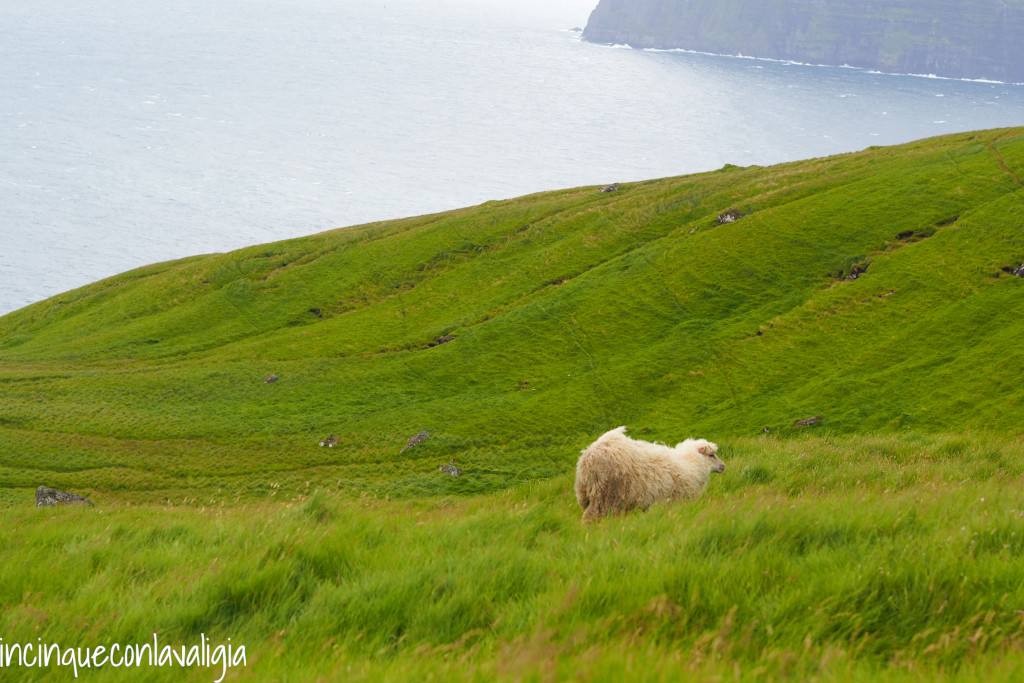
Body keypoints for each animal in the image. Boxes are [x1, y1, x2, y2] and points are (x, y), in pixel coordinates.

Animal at [574, 426, 725, 522]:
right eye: (711, 455)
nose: (723, 466)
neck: (690, 463)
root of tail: (587, 458)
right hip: (605, 496)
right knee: (590, 518)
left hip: (588, 496)